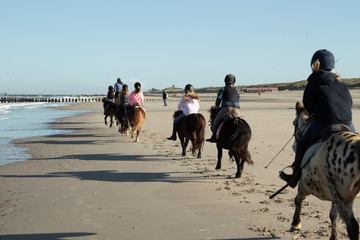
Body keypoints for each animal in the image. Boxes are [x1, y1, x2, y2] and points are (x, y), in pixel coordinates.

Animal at [290, 101, 360, 240]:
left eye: (294, 122)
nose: (294, 145)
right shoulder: (334, 196)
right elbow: (334, 216)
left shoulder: (303, 183)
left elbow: (298, 199)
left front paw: (295, 223)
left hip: (344, 199)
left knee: (353, 227)